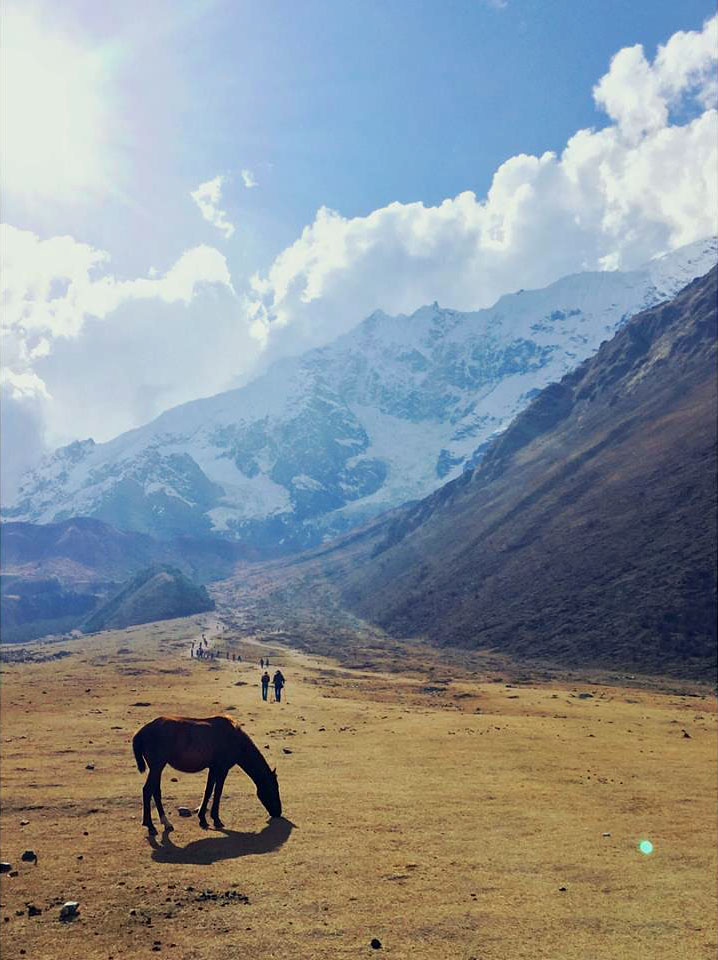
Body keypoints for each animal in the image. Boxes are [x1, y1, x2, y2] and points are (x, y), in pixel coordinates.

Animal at [132, 712, 282, 832]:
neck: (235, 739)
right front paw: (216, 819)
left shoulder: (213, 768)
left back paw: (165, 822)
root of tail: (141, 732)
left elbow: (208, 791)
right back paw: (150, 825)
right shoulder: (222, 769)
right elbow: (217, 792)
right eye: (274, 789)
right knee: (147, 790)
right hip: (157, 766)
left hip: (157, 768)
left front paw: (202, 818)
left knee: (155, 791)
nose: (278, 812)